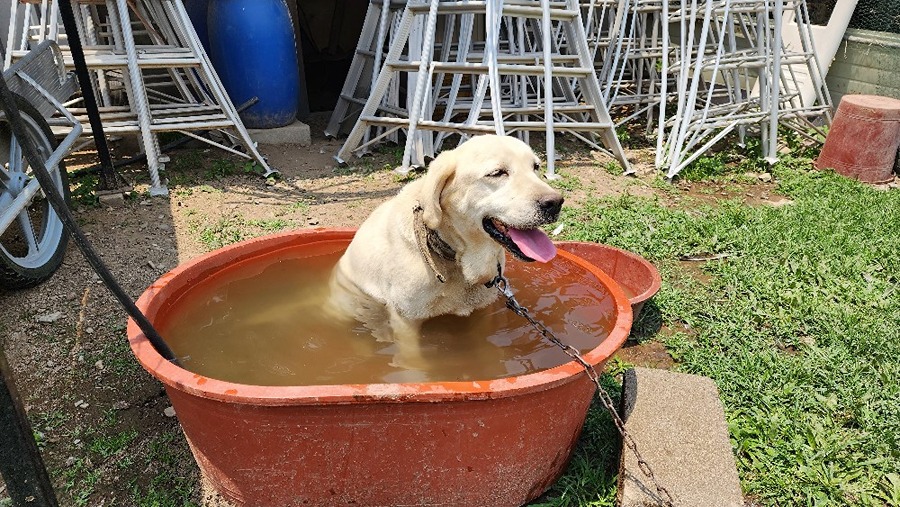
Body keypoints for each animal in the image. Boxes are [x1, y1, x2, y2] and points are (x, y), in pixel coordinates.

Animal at [328, 133, 564, 368]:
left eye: (536, 166)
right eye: (497, 173)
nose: (555, 202)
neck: (457, 260)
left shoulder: (482, 312)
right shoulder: (406, 320)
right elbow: (413, 360)